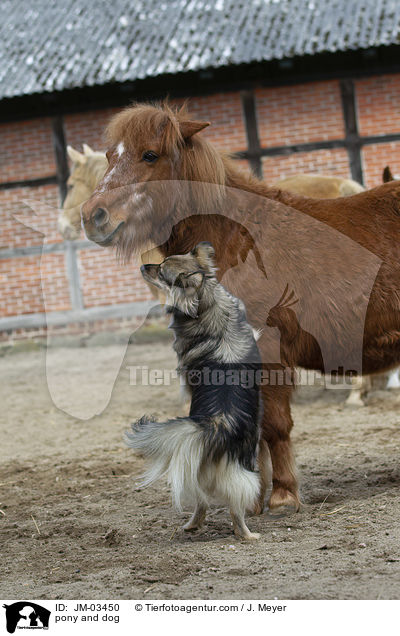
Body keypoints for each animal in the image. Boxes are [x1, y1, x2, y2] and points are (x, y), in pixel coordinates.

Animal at [125, 243, 262, 540]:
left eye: (161, 271)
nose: (142, 266)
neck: (206, 300)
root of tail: (216, 423)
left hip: (197, 470)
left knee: (204, 502)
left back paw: (195, 525)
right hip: (242, 470)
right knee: (234, 508)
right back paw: (246, 535)